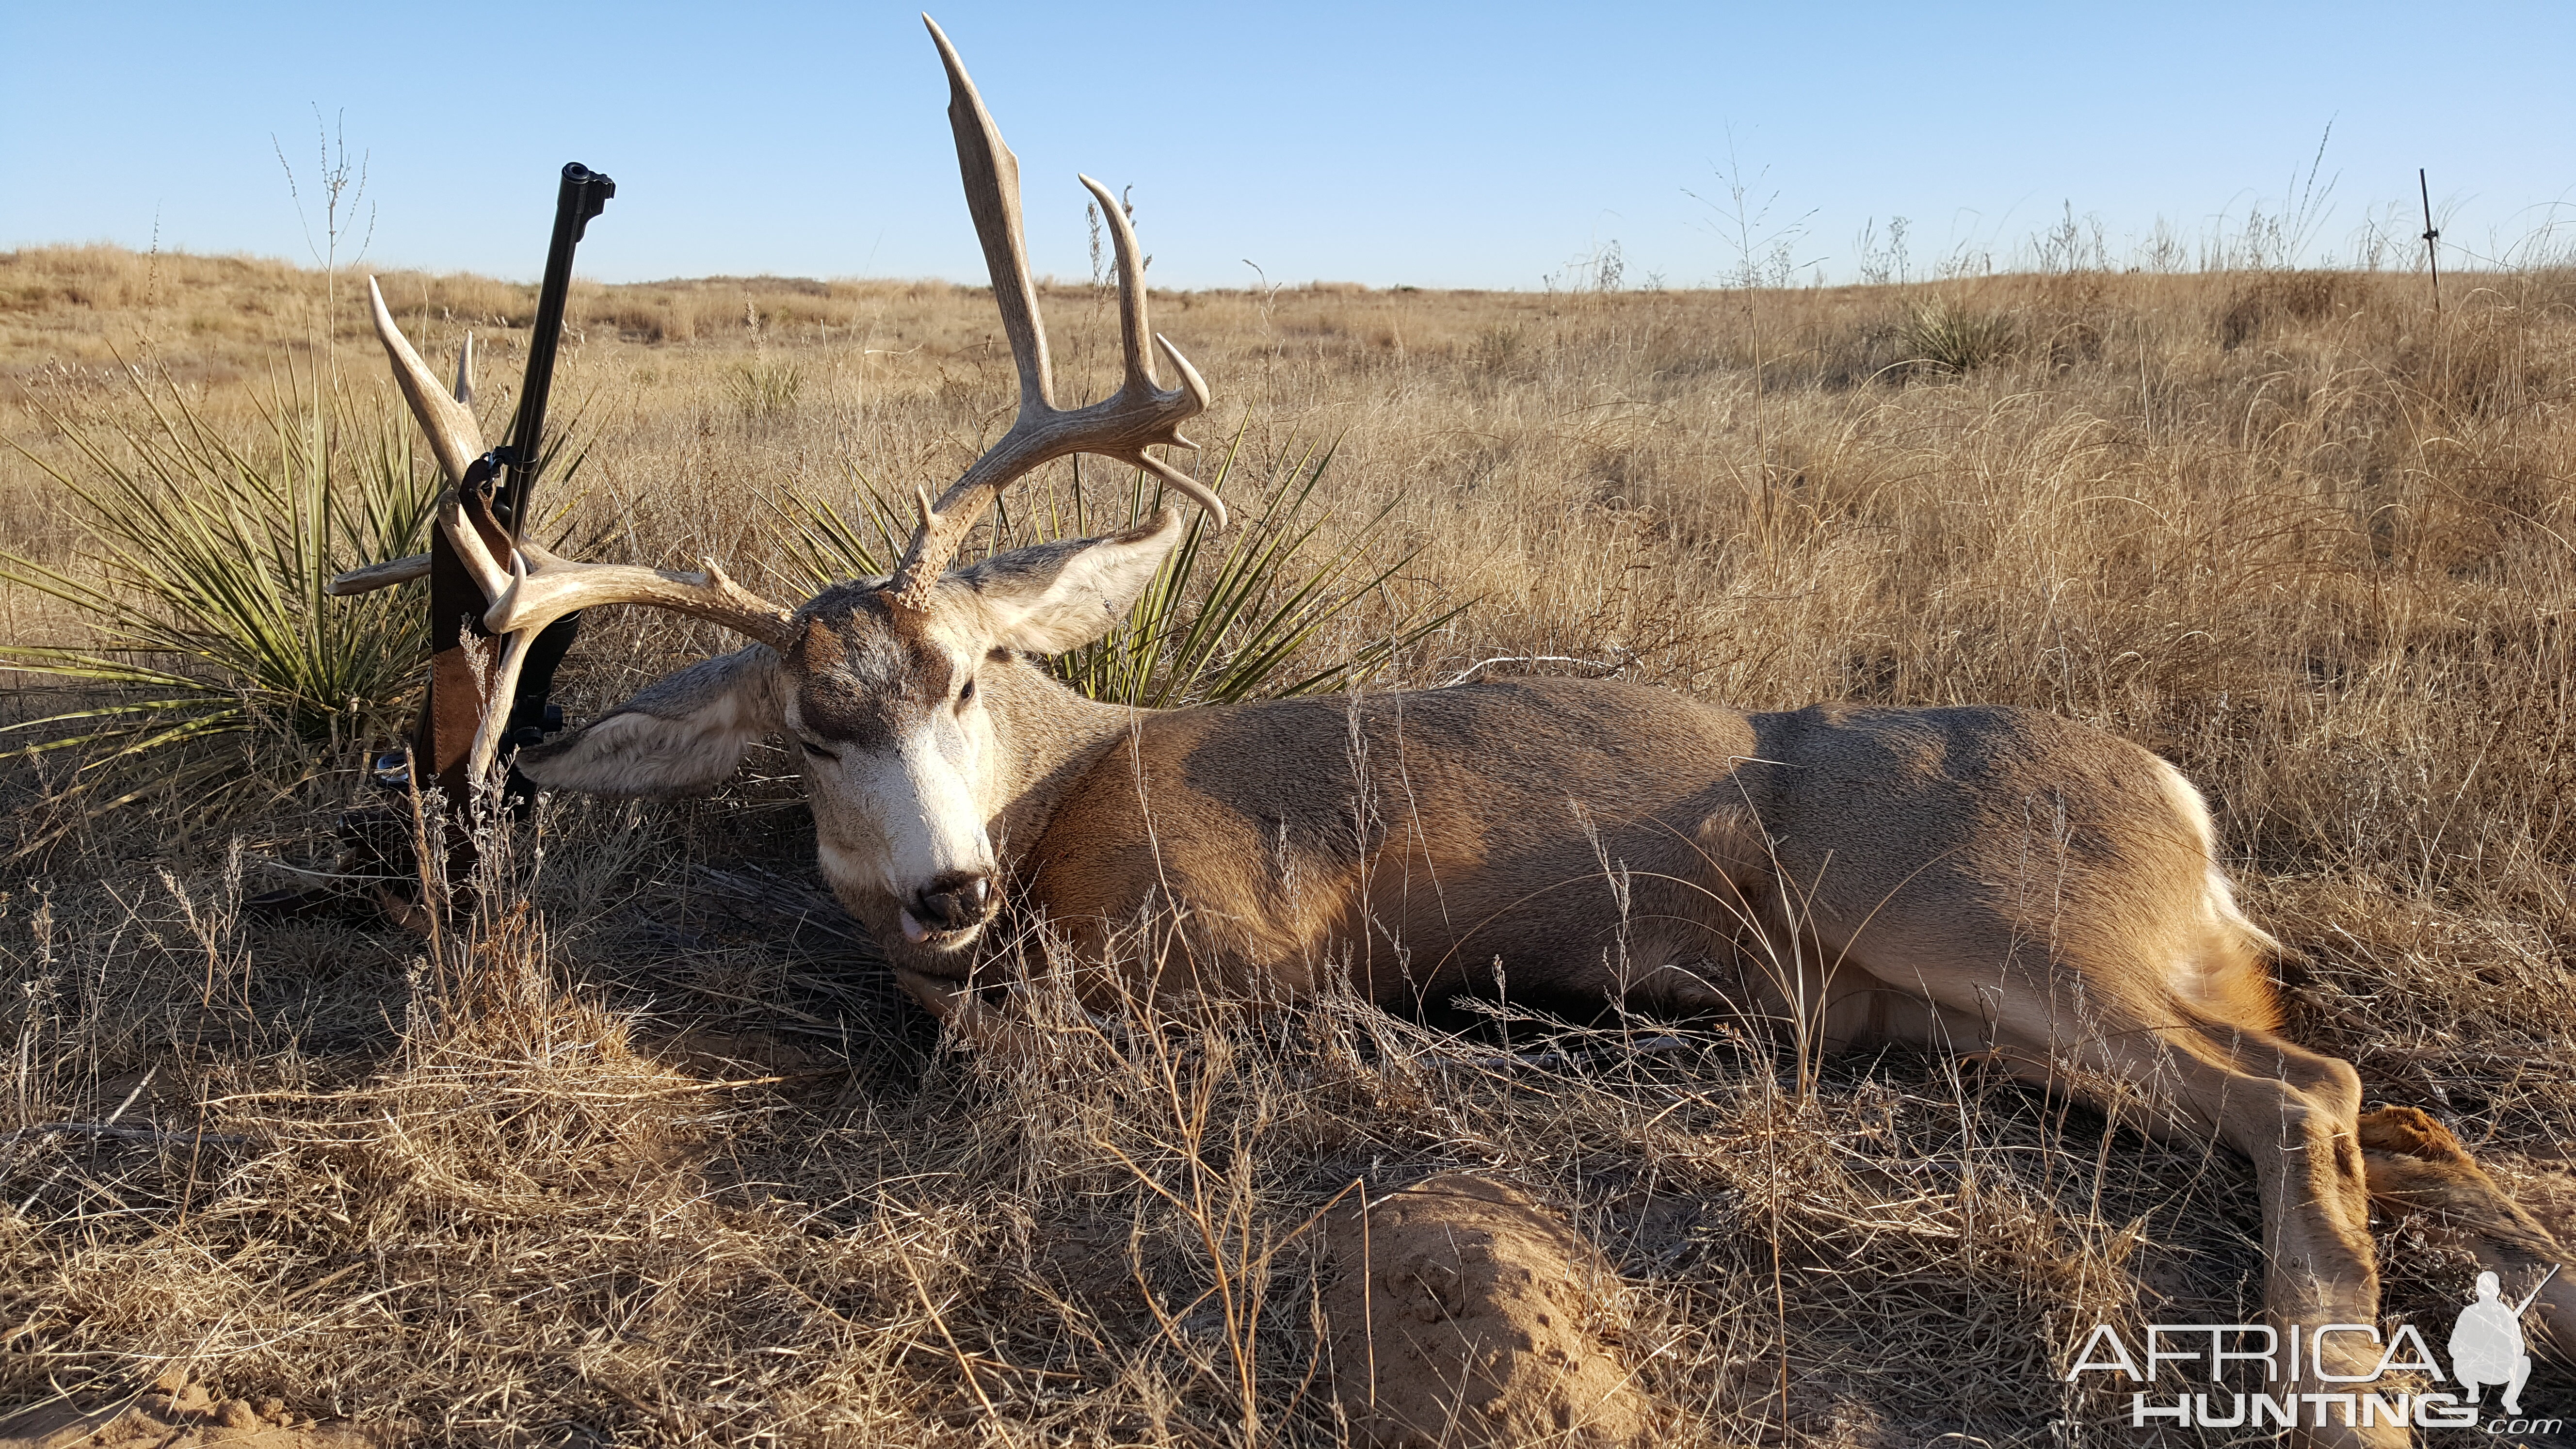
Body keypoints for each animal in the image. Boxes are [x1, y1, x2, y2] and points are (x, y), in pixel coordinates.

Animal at [337, 16, 2576, 1433]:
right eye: (804, 733)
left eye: (966, 670)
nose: (945, 892)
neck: (1069, 800)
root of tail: (2183, 805)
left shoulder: (1250, 938)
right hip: (1974, 993)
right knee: (2340, 1086)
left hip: (1977, 908)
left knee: (2299, 1088)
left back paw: (2333, 1390)